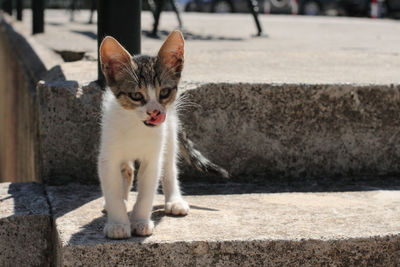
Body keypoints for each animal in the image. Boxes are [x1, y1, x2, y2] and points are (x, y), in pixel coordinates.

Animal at [97, 30, 228, 240]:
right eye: (136, 96)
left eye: (164, 92)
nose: (155, 112)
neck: (137, 126)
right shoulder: (108, 156)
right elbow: (113, 187)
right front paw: (118, 223)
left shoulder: (153, 156)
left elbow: (148, 188)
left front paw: (140, 221)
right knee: (127, 169)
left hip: (170, 131)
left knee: (169, 167)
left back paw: (174, 200)